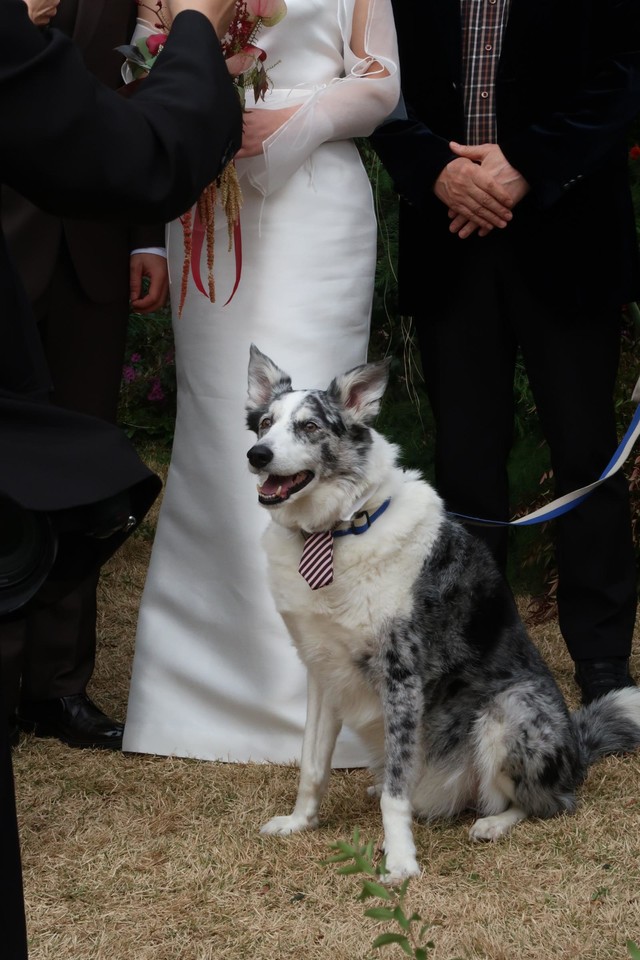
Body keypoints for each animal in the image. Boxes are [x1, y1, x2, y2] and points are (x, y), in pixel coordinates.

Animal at [245, 344, 640, 881]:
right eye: (265, 424)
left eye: (309, 426)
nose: (257, 455)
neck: (341, 528)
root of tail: (578, 747)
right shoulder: (323, 669)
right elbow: (312, 764)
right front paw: (299, 822)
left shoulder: (402, 675)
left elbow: (396, 794)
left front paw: (400, 861)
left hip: (511, 709)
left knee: (549, 801)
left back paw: (494, 823)